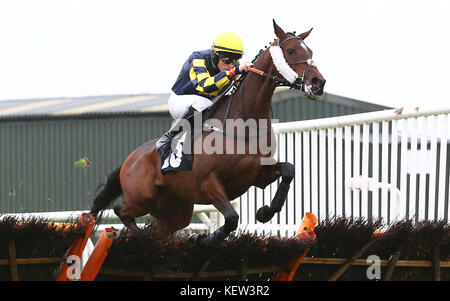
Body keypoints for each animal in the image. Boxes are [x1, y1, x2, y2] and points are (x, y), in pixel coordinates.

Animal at [89, 20, 326, 246]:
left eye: (310, 51)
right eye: (291, 51)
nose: (318, 82)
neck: (243, 124)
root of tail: (130, 159)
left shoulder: (257, 175)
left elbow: (288, 169)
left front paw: (265, 212)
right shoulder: (208, 183)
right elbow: (231, 218)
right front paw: (203, 239)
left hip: (176, 209)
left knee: (158, 228)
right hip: (142, 198)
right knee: (121, 210)